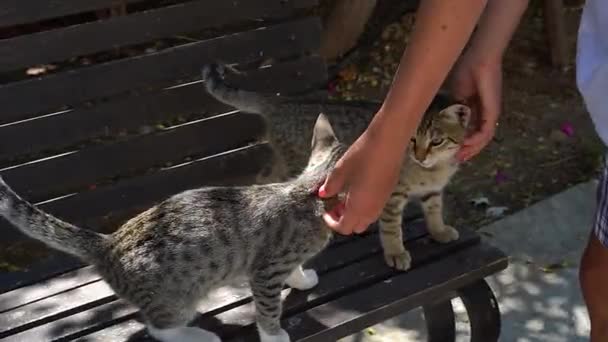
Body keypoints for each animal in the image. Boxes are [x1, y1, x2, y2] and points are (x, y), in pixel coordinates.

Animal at [0, 114, 344, 342]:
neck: (307, 192)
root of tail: (108, 243)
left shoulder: (281, 261)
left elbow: (296, 269)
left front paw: (302, 279)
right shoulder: (266, 271)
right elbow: (268, 307)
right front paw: (274, 335)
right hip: (177, 298)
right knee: (159, 328)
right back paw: (199, 336)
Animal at [202, 63, 472, 272]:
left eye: (436, 141)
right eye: (412, 139)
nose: (419, 156)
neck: (433, 170)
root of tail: (283, 101)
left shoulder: (433, 191)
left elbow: (434, 211)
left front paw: (439, 231)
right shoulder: (390, 194)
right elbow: (391, 227)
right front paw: (396, 252)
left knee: (264, 174)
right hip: (298, 166)